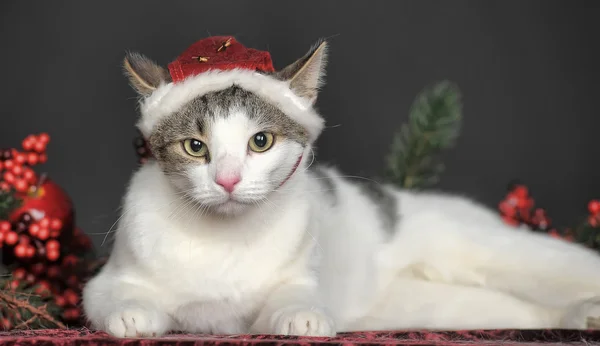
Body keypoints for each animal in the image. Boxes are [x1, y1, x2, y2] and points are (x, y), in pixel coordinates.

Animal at [82, 38, 600, 338]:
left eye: (261, 141)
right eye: (195, 146)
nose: (228, 180)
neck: (224, 239)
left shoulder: (299, 279)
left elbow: (294, 300)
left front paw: (302, 317)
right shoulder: (107, 281)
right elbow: (115, 298)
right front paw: (132, 313)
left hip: (494, 251)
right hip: (434, 306)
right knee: (519, 310)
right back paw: (576, 317)